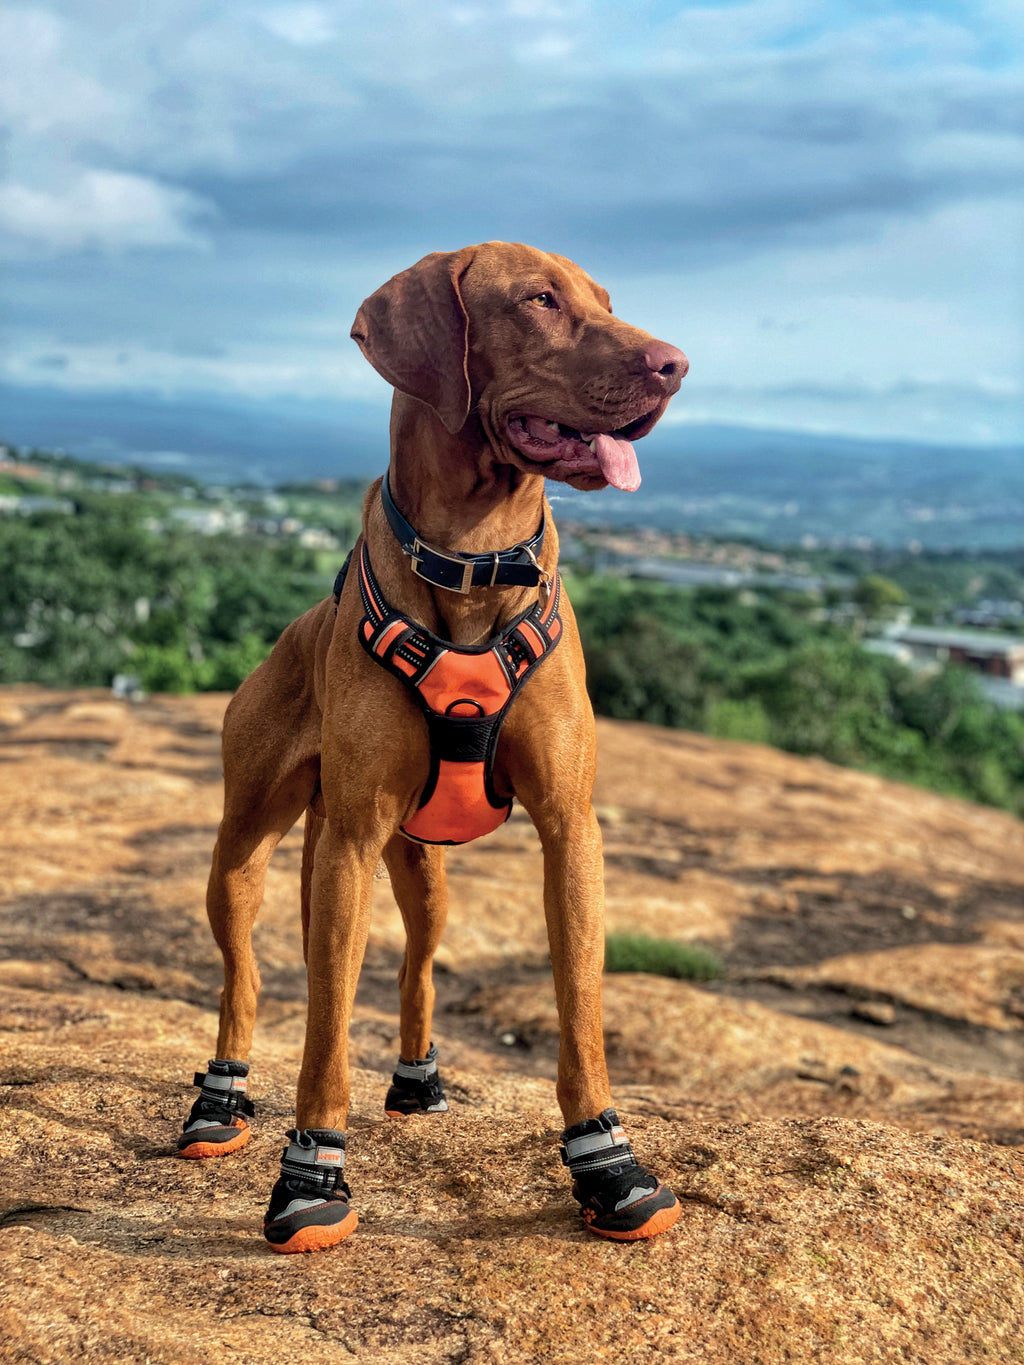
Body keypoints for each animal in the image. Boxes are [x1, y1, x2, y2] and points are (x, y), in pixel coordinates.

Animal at [178, 242, 690, 1250]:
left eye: (607, 299)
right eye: (540, 299)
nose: (675, 363)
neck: (474, 563)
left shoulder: (570, 830)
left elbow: (580, 1004)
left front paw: (607, 1161)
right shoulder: (348, 840)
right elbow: (324, 1031)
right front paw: (311, 1173)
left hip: (419, 867)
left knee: (415, 965)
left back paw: (417, 1079)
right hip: (251, 845)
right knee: (248, 974)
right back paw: (221, 1100)